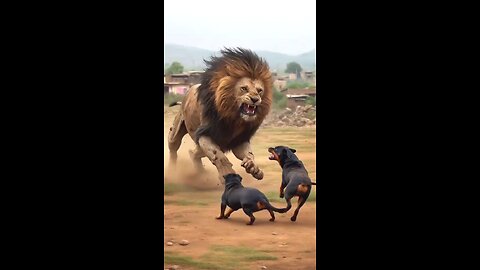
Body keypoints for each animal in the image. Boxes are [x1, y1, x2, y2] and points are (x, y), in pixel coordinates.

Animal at [168, 47, 274, 185]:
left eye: (259, 90)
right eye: (244, 88)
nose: (255, 99)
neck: (234, 118)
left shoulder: (239, 140)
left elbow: (249, 154)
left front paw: (254, 168)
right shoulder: (205, 135)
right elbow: (218, 156)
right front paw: (227, 174)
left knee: (193, 153)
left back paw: (201, 173)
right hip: (178, 131)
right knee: (173, 147)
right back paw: (171, 170)